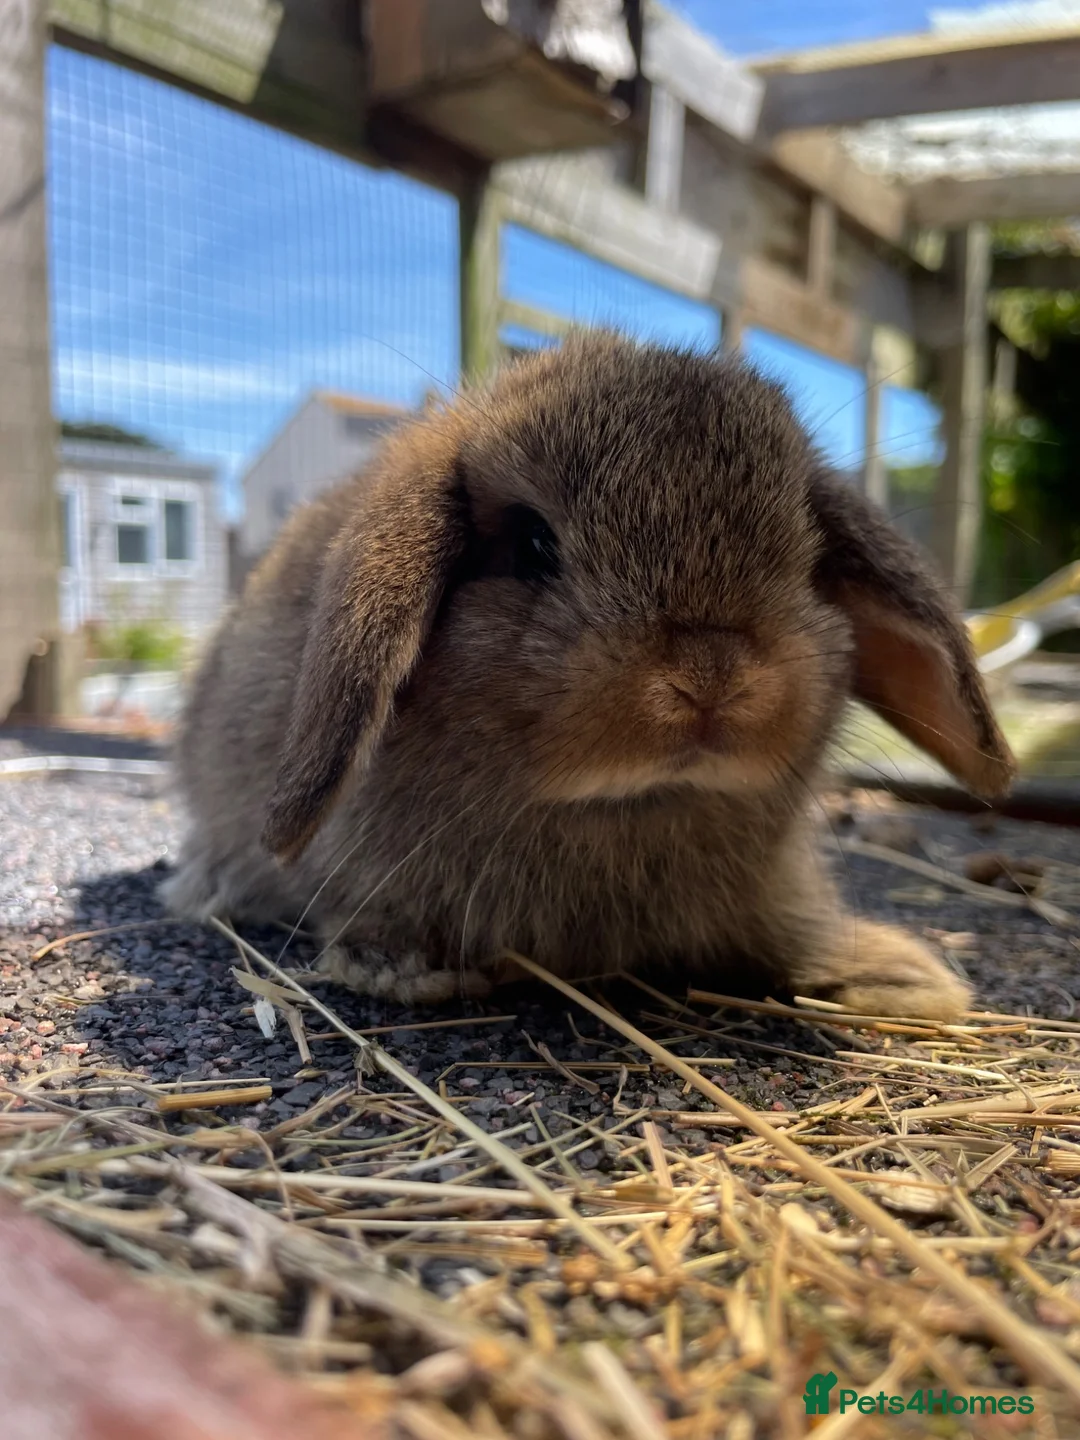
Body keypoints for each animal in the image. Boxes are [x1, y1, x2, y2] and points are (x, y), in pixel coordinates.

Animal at [163, 332, 1015, 1019]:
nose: (711, 676)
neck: (628, 807)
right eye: (533, 544)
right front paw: (403, 969)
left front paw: (905, 980)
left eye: (811, 564)